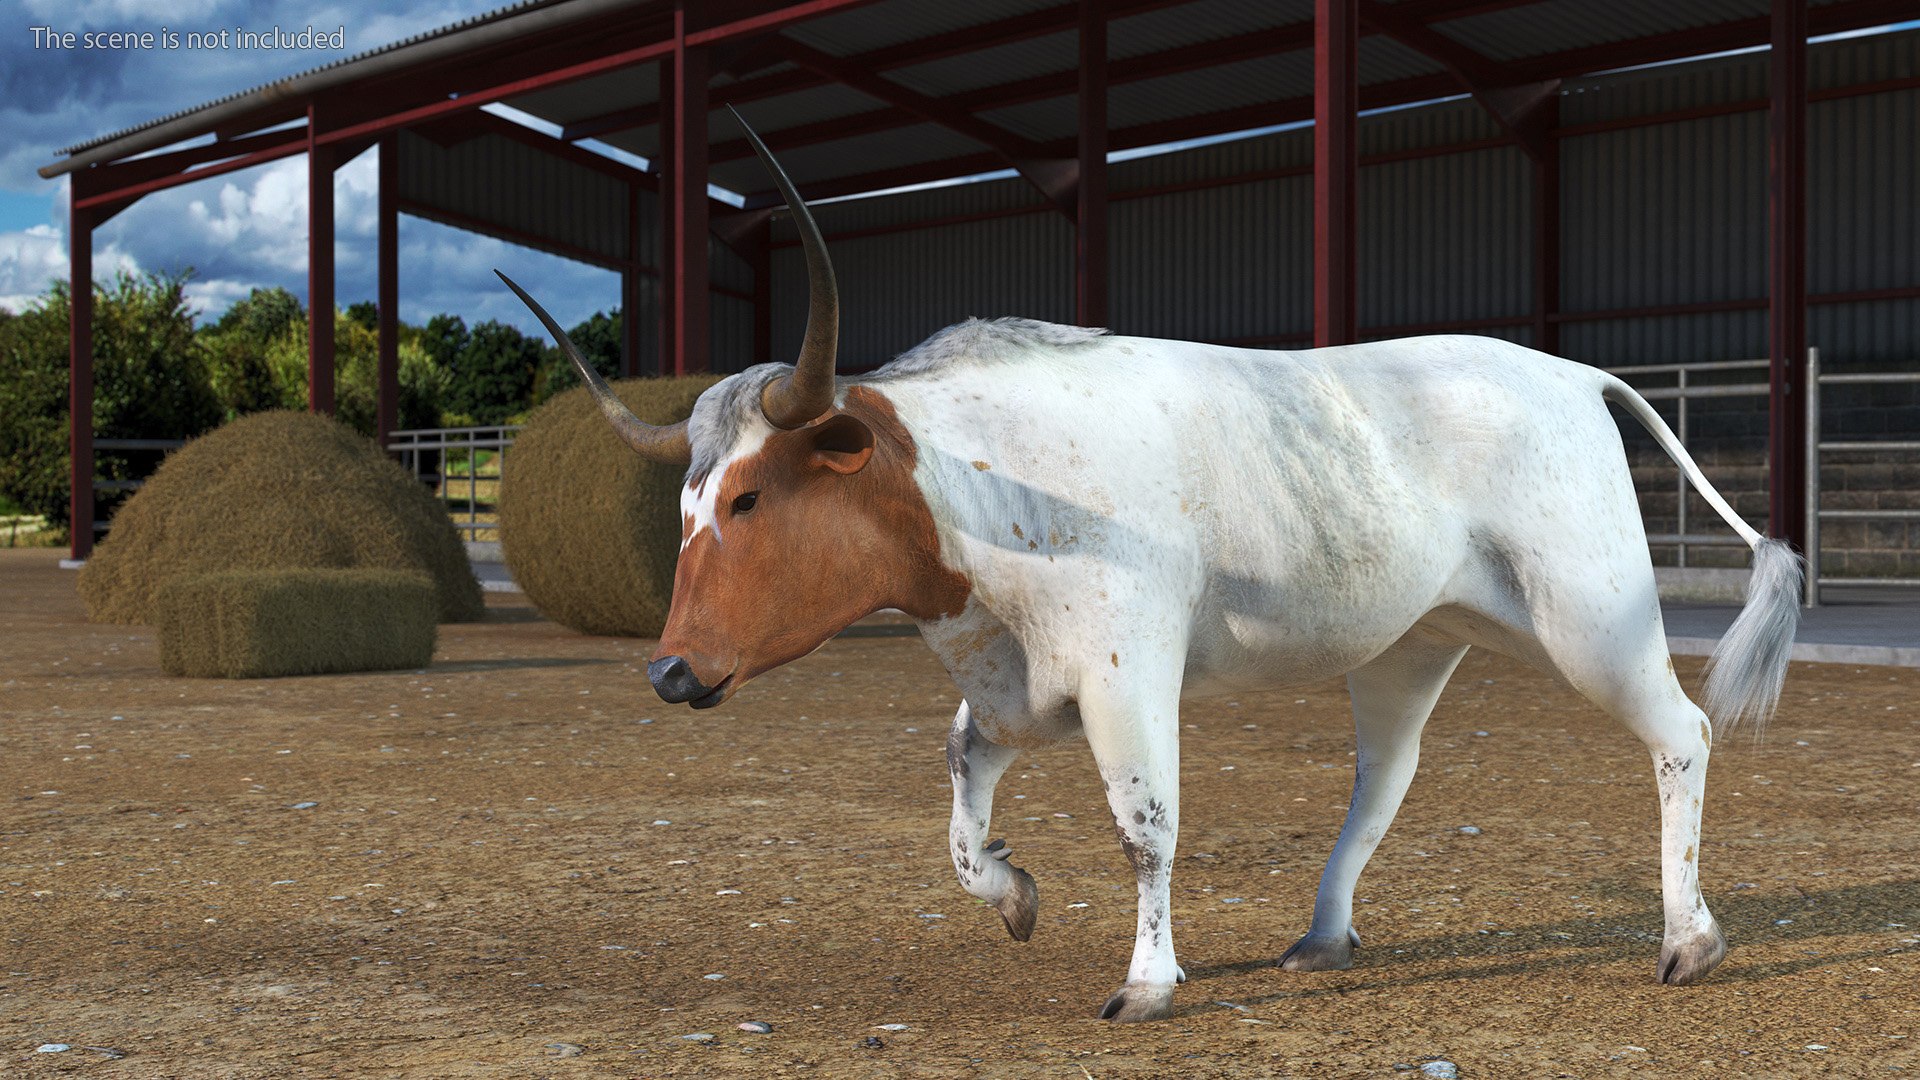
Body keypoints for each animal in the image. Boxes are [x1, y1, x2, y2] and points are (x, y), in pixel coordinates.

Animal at [497, 115, 1801, 1023]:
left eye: (751, 497)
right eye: (681, 503)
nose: (670, 672)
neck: (983, 487)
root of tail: (1568, 370)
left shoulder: (1128, 672)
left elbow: (1146, 826)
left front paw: (1148, 981)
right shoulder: (1011, 689)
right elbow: (960, 812)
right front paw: (1014, 897)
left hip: (1592, 614)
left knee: (1680, 730)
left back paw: (1688, 939)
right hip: (1413, 643)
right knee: (1384, 779)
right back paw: (1323, 935)